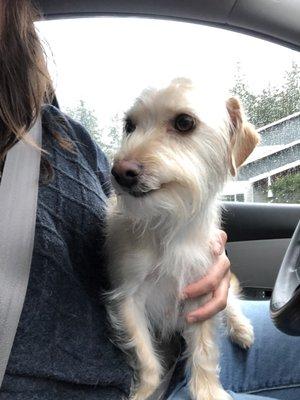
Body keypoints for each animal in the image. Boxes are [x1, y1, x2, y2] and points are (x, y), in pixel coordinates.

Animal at [106, 79, 258, 400]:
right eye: (129, 125)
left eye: (184, 122)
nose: (120, 172)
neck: (169, 223)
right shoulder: (128, 298)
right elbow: (146, 357)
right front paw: (145, 391)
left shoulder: (203, 292)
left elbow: (204, 350)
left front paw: (208, 390)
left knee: (231, 302)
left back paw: (240, 327)